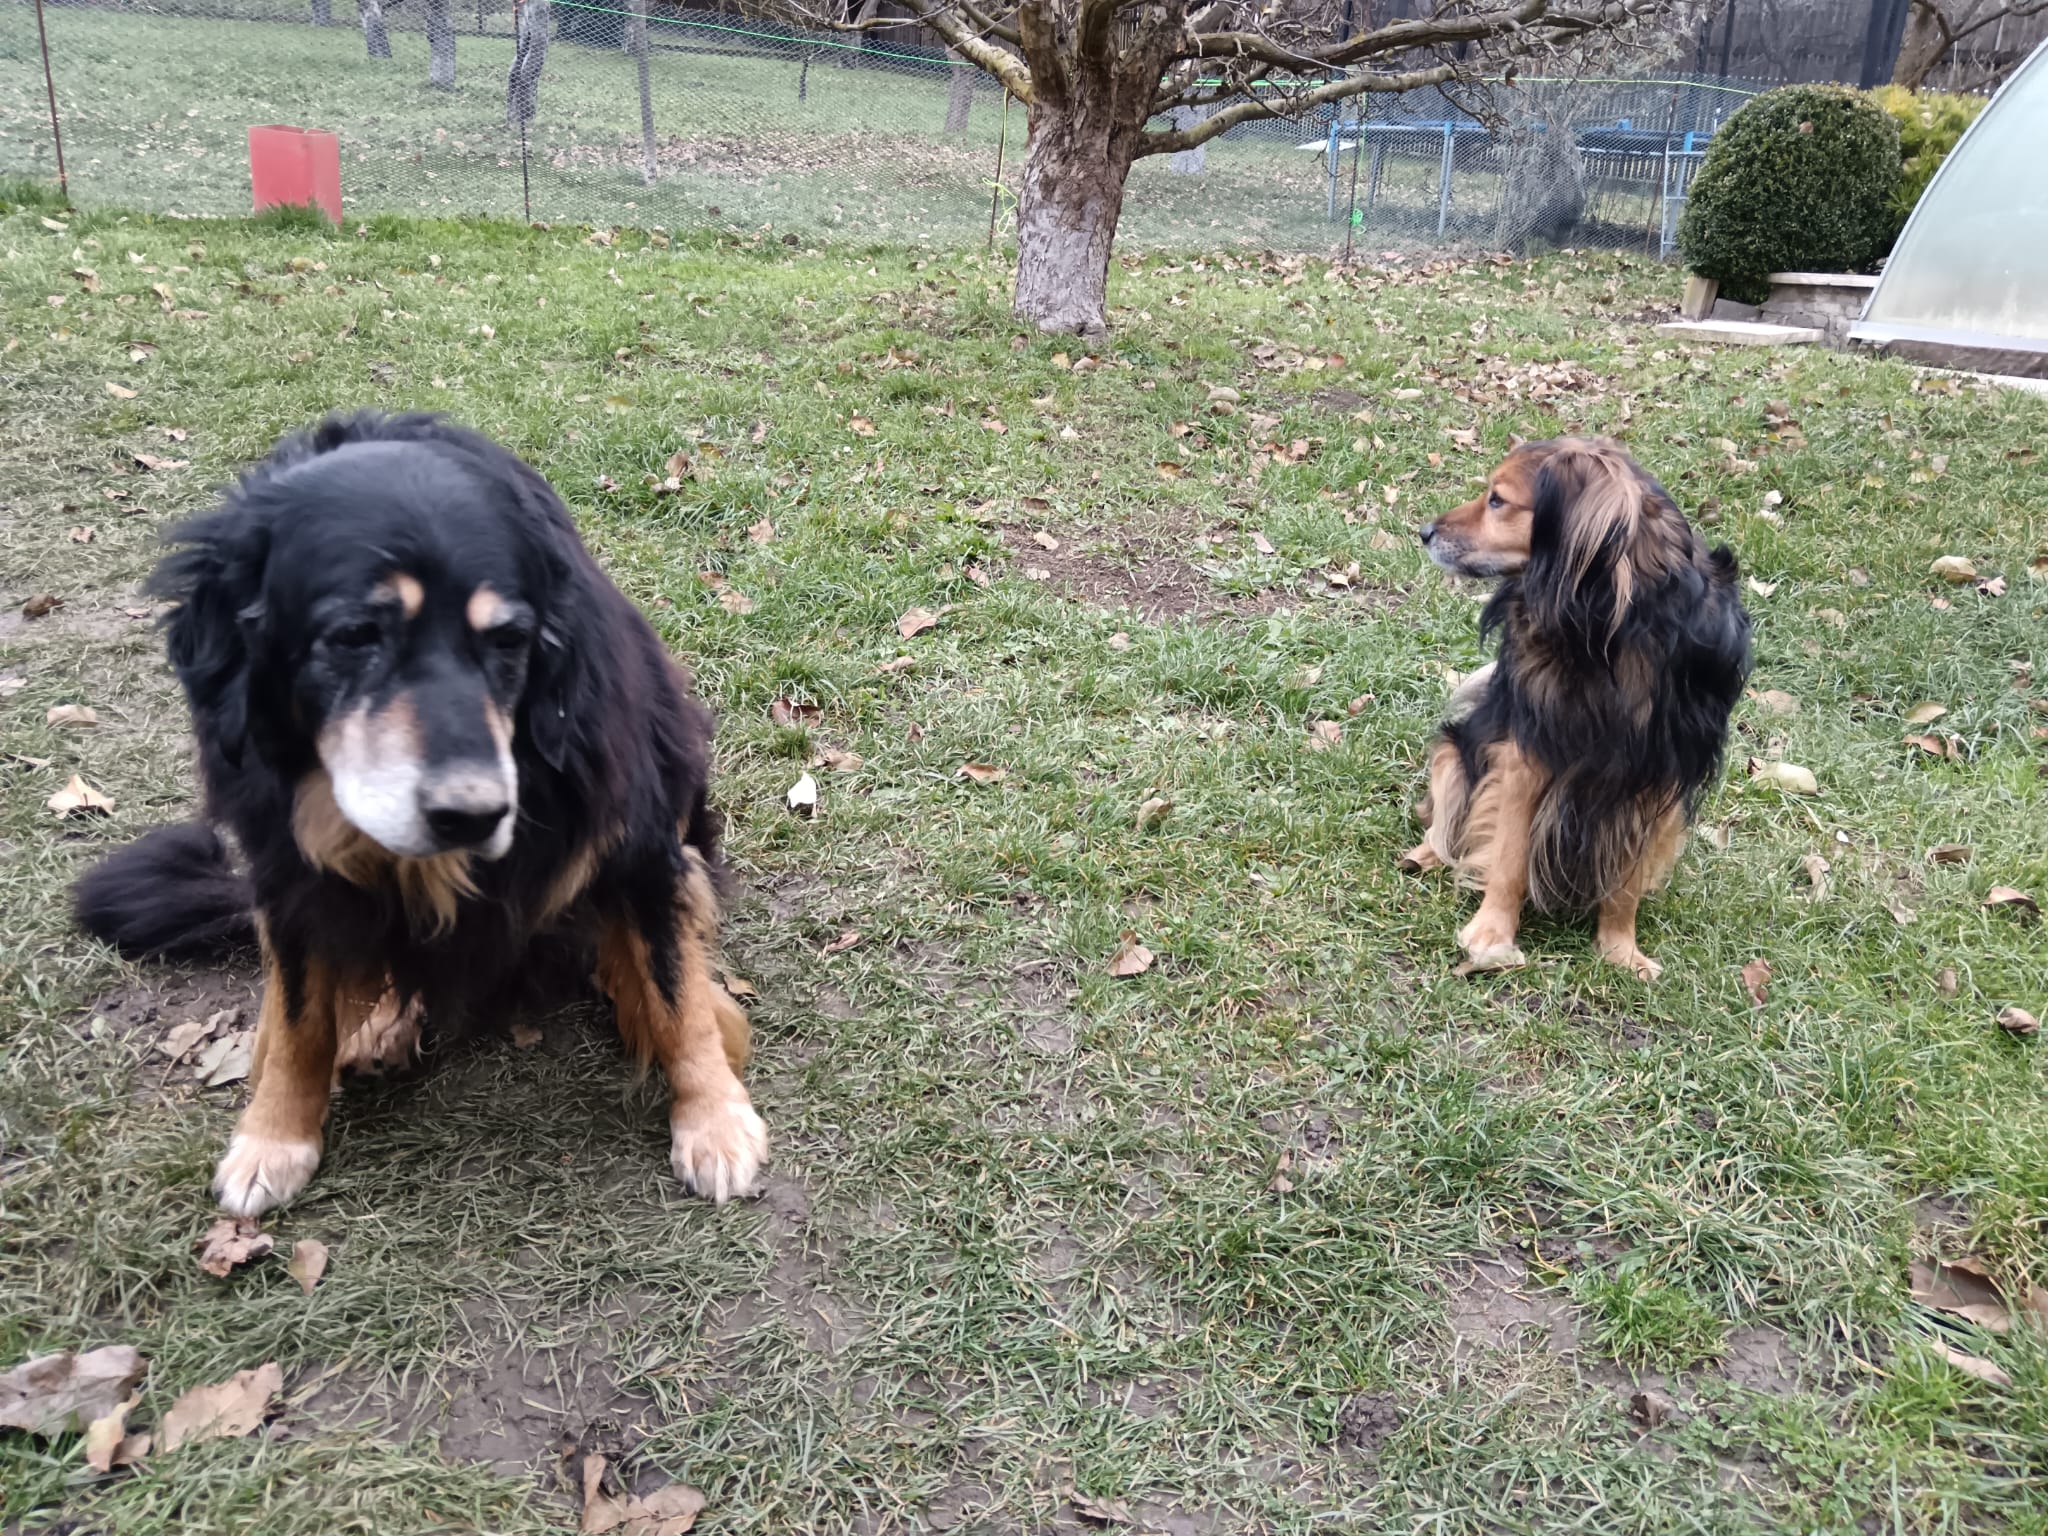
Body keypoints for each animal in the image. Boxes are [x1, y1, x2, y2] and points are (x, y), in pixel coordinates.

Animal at [74, 413, 766, 1215]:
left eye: (510, 640)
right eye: (353, 637)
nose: (473, 814)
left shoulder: (641, 845)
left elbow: (676, 993)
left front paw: (715, 1122)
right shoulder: (286, 872)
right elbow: (298, 1017)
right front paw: (273, 1138)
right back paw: (378, 1024)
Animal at [1403, 436, 1751, 980]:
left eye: (1497, 500)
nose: (1424, 532)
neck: (1608, 626)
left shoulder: (1658, 773)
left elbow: (1625, 882)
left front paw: (1619, 949)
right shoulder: (1527, 752)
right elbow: (1508, 856)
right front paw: (1493, 934)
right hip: (1457, 750)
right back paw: (1427, 854)